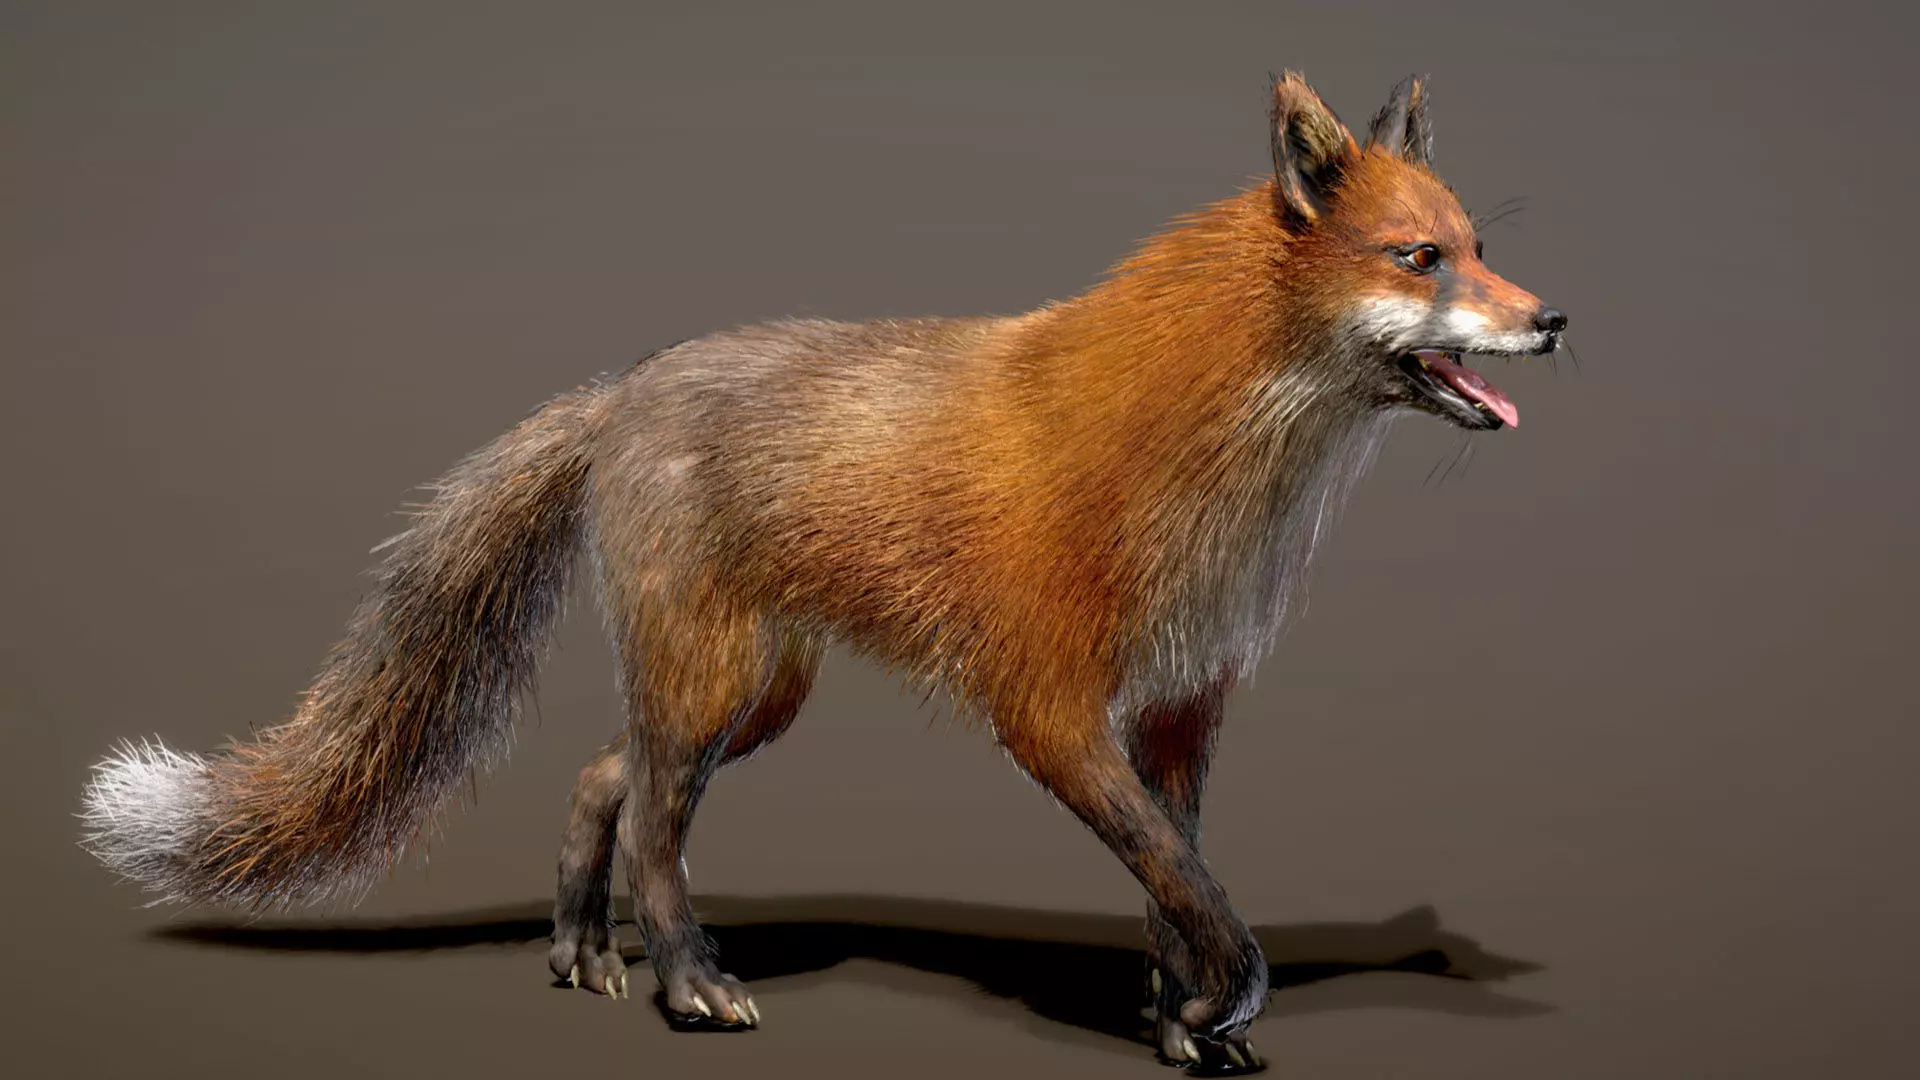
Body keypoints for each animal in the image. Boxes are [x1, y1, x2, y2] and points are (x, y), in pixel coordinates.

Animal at [80, 71, 1565, 1072]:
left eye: (1484, 248)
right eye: (1421, 260)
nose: (1555, 318)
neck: (1213, 476)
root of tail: (628, 383)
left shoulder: (1180, 707)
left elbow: (1176, 878)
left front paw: (1180, 1021)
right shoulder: (1047, 713)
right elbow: (1196, 891)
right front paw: (1221, 999)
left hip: (755, 697)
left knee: (600, 779)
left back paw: (578, 952)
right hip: (712, 683)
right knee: (657, 829)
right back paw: (687, 983)